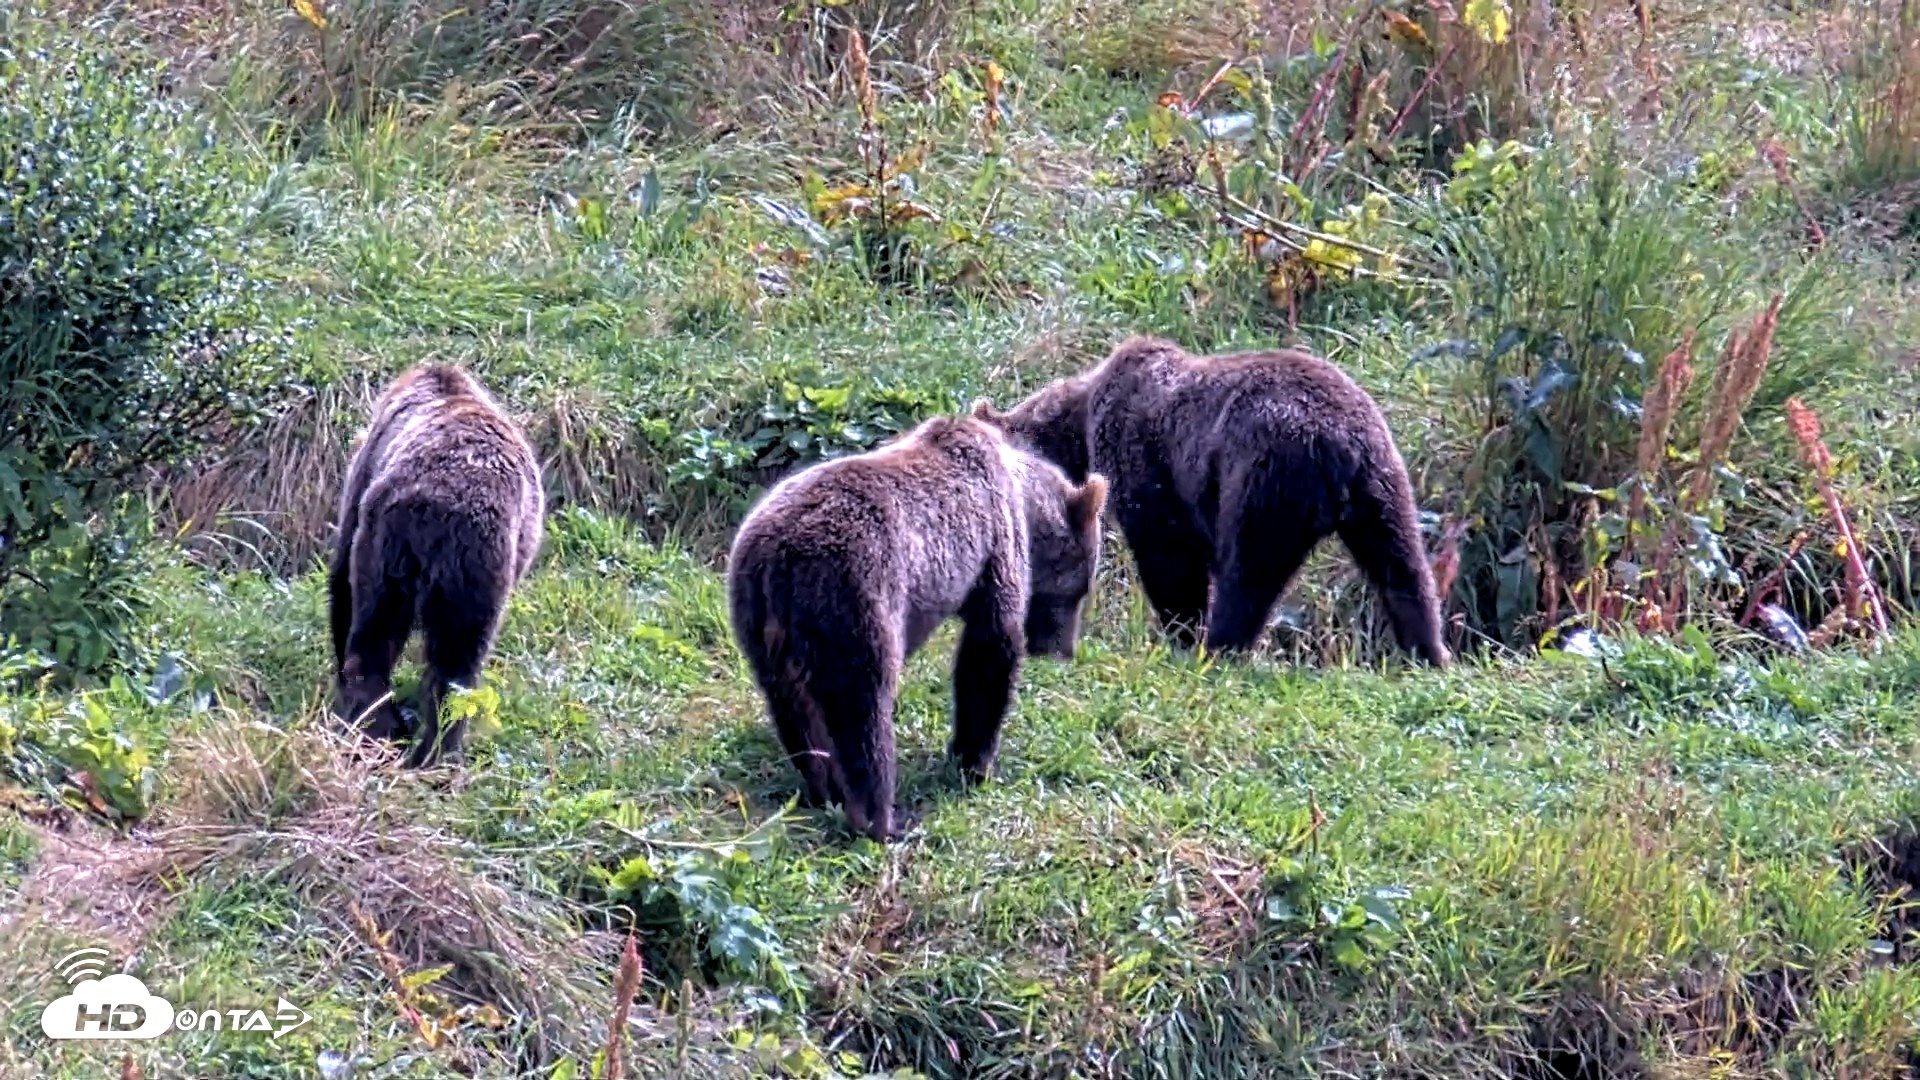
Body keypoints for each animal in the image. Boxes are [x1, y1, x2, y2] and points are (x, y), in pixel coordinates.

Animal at [329, 363, 546, 767]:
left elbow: (340, 582)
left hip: (398, 549)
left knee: (379, 636)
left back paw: (383, 730)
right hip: (469, 572)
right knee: (454, 669)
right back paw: (430, 750)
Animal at [726, 412, 1109, 843]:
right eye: (1082, 587)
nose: (1064, 650)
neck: (1025, 505)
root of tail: (779, 563)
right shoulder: (995, 545)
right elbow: (990, 651)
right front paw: (975, 762)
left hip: (757, 619)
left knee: (795, 711)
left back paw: (825, 788)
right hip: (855, 597)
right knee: (863, 713)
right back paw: (882, 818)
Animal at [971, 335, 1448, 666]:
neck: (1079, 427)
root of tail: (1340, 443)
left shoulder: (1144, 456)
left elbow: (1168, 555)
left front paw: (1181, 632)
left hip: (1265, 473)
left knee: (1248, 572)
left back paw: (1219, 648)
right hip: (1382, 478)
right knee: (1401, 564)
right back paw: (1427, 649)